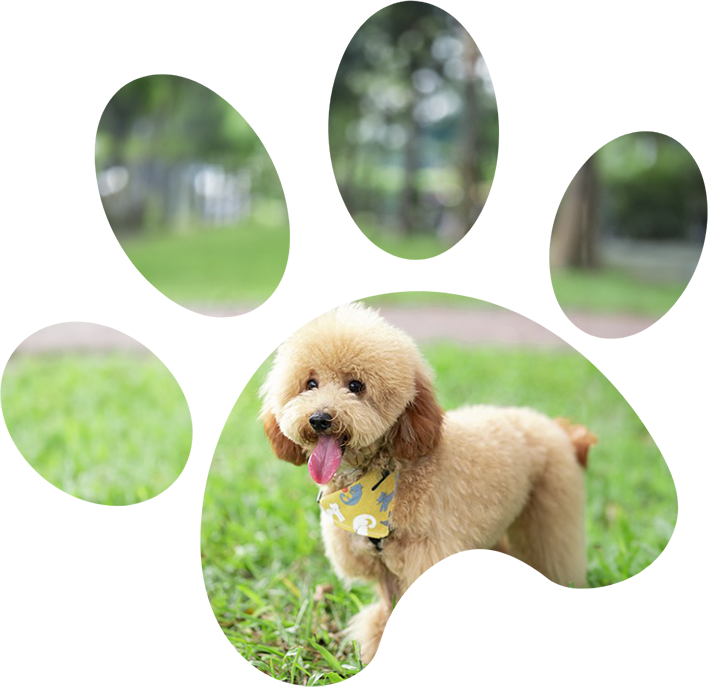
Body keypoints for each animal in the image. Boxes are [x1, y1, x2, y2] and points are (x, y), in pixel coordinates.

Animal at [258, 302, 596, 668]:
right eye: (310, 383)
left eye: (356, 385)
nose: (320, 419)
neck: (387, 474)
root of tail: (558, 429)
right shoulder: (386, 568)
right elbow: (388, 610)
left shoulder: (428, 561)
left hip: (551, 516)